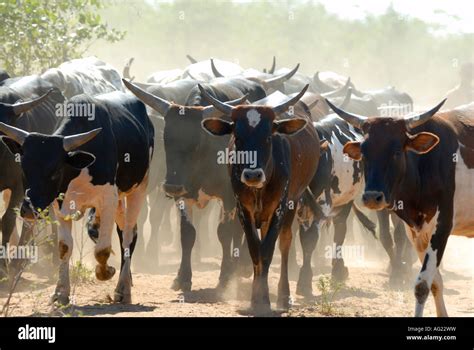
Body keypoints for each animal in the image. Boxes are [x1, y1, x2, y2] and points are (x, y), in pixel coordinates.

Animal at [328, 98, 474, 318]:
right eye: (364, 153)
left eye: (396, 152)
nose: (372, 197)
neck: (423, 166)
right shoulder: (416, 233)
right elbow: (435, 282)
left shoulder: (442, 227)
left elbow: (422, 285)